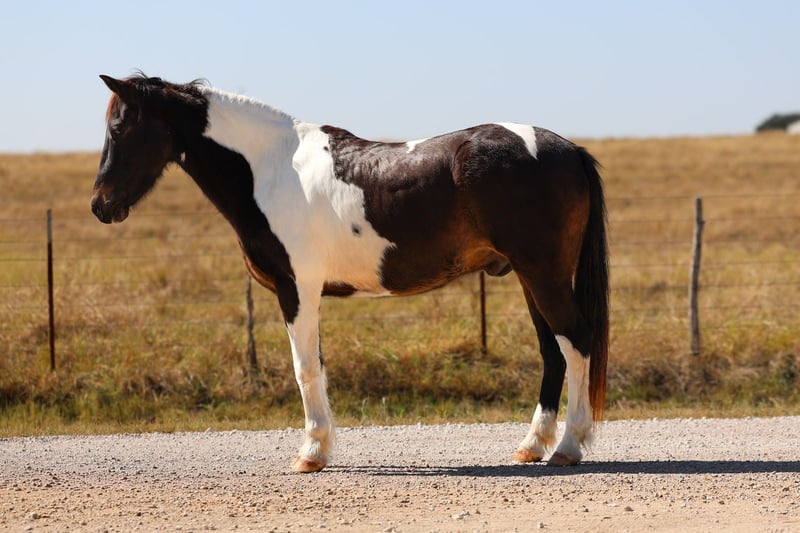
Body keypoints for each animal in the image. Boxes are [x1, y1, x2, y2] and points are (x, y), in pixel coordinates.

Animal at [91, 74, 609, 473]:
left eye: (119, 126)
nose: (100, 205)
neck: (271, 169)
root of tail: (568, 149)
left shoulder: (296, 290)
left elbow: (304, 368)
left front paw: (311, 453)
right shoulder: (305, 293)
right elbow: (317, 366)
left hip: (543, 274)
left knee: (576, 342)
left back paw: (567, 447)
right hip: (530, 277)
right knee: (553, 352)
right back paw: (532, 446)